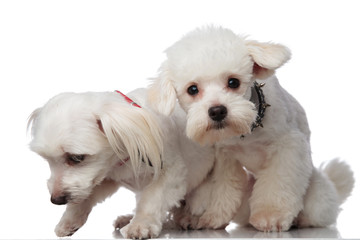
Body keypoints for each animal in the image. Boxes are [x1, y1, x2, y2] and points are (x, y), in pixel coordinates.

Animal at [26, 88, 218, 238]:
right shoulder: (105, 177)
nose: (56, 200)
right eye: (47, 160)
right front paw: (70, 219)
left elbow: (153, 199)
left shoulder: (171, 173)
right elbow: (86, 195)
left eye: (76, 157)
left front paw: (140, 224)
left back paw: (192, 219)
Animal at [148, 25, 354, 232]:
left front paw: (270, 216)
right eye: (192, 89)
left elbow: (277, 184)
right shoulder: (225, 159)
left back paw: (300, 220)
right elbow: (224, 190)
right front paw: (214, 217)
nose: (217, 111)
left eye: (233, 82)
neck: (247, 131)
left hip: (315, 198)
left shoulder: (288, 148)